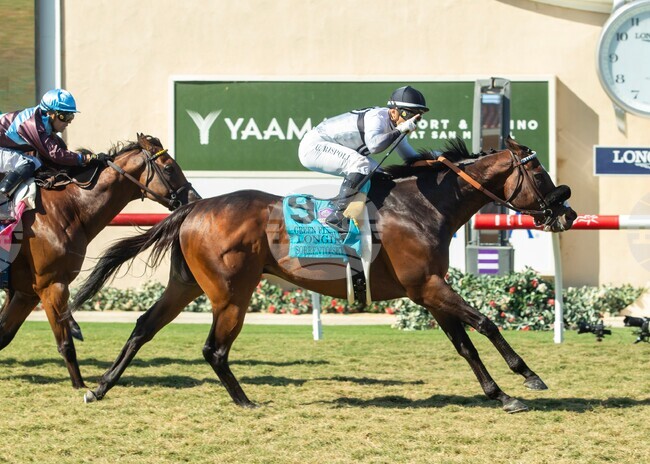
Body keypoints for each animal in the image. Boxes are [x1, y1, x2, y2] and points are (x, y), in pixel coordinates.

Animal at [0, 133, 200, 389]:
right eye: (169, 168)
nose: (195, 199)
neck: (68, 209)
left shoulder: (27, 292)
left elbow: (3, 335)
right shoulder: (52, 286)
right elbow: (65, 344)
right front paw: (81, 386)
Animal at [72, 137, 577, 412]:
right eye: (539, 172)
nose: (567, 212)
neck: (423, 205)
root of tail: (194, 207)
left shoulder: (427, 292)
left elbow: (465, 344)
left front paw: (500, 393)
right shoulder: (429, 286)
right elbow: (487, 323)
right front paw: (528, 376)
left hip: (185, 284)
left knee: (144, 327)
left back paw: (99, 388)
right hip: (231, 293)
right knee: (214, 349)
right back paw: (244, 400)